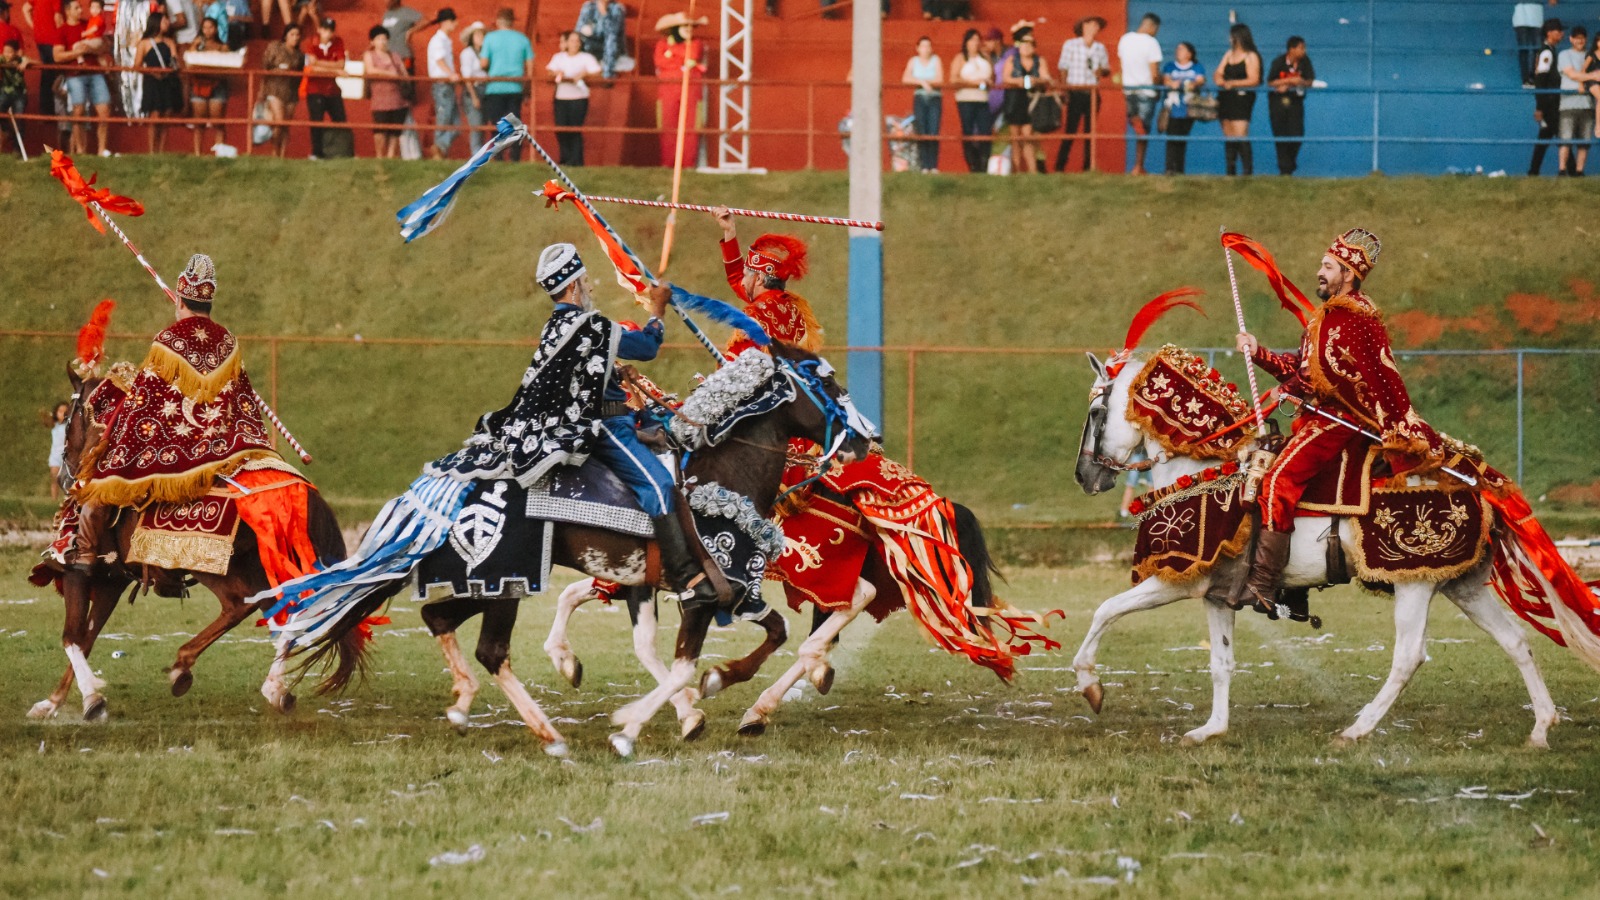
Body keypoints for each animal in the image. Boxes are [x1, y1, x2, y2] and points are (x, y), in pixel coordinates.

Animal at [25, 365, 352, 720]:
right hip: (262, 566)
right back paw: (273, 689)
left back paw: (185, 668)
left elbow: (71, 637)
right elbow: (86, 639)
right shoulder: (112, 580)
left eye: (69, 418)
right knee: (284, 611)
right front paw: (60, 701)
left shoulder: (75, 573)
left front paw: (78, 701)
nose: (64, 475)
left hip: (214, 564)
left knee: (241, 605)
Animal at [294, 342, 870, 755]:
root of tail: (451, 488)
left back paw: (467, 705)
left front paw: (711, 690)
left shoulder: (695, 587)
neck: (722, 477)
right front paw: (639, 722)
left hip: (489, 582)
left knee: (438, 618)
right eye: (823, 378)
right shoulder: (709, 593)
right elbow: (688, 663)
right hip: (507, 581)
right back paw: (547, 734)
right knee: (489, 648)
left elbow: (765, 635)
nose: (868, 438)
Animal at [1075, 350, 1574, 743]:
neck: (1204, 471)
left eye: (1097, 412)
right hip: (1460, 584)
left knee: (1409, 657)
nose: (1085, 476)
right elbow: (1221, 662)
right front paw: (1211, 729)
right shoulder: (1217, 595)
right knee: (1516, 641)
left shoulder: (1175, 580)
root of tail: (1480, 483)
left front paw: (1090, 686)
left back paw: (1356, 729)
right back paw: (1541, 727)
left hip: (1413, 582)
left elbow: (1104, 610)